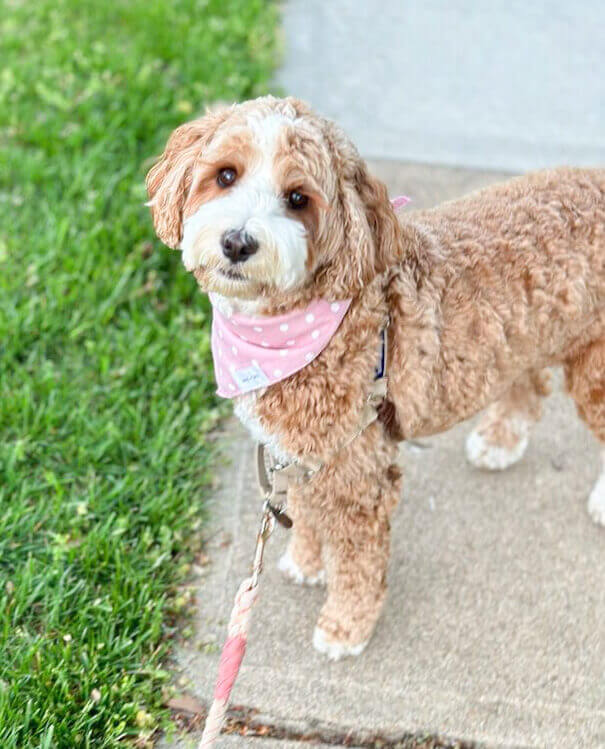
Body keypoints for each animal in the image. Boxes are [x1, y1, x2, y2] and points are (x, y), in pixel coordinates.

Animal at [146, 95, 604, 660]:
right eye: (225, 174)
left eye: (298, 198)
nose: (237, 242)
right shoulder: (302, 453)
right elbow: (307, 511)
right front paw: (307, 560)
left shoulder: (357, 472)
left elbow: (358, 559)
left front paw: (345, 626)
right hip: (522, 334)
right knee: (527, 383)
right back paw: (501, 440)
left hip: (593, 367)